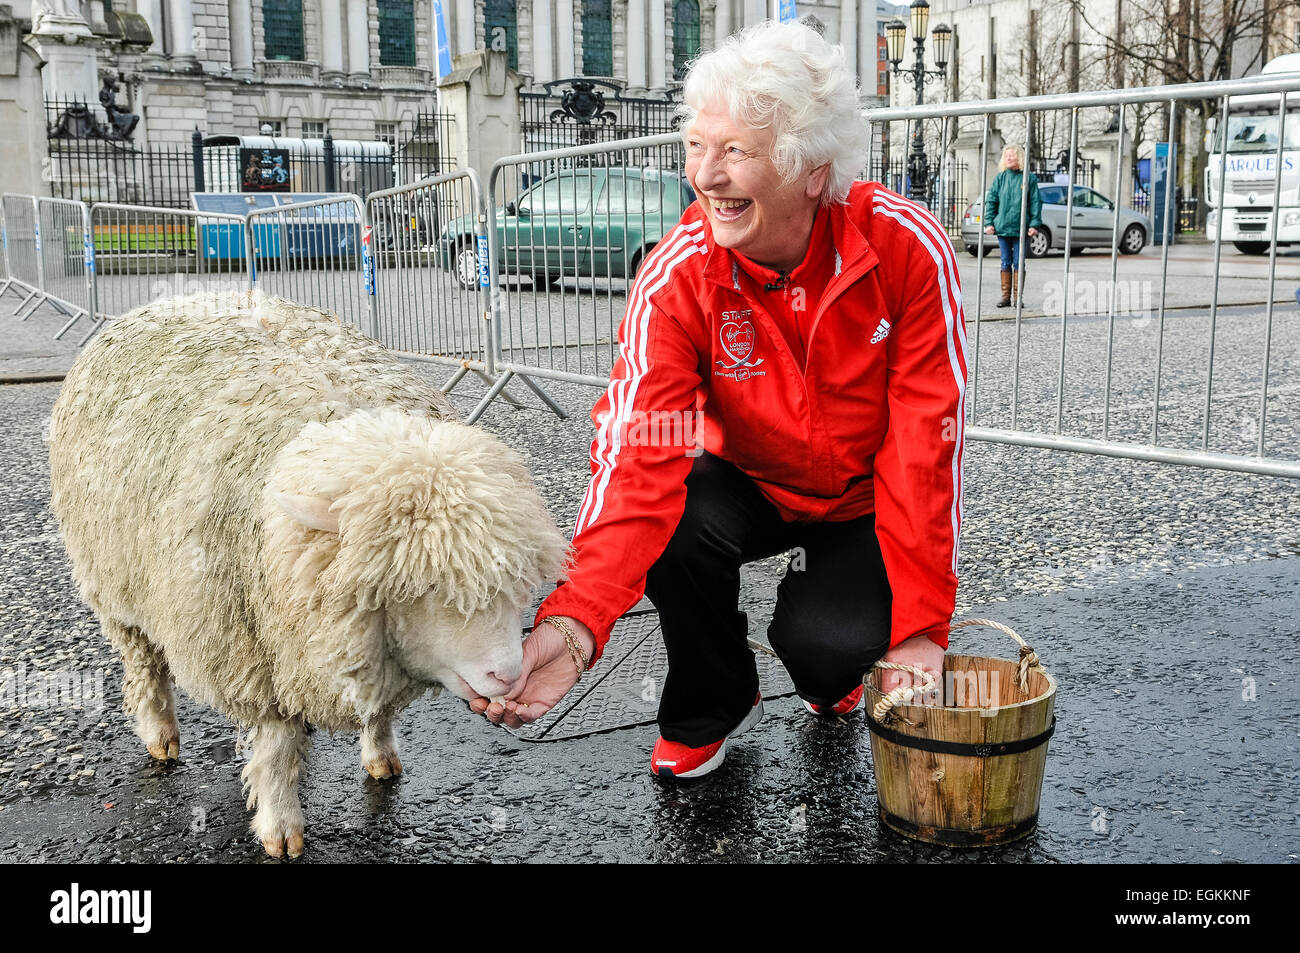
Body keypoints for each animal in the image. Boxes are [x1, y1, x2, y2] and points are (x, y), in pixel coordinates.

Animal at [47, 291, 568, 857]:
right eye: (423, 586)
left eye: (513, 583)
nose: (509, 675)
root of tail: (174, 296)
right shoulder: (257, 653)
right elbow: (275, 748)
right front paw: (280, 826)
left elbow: (376, 709)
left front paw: (380, 753)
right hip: (114, 583)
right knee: (144, 664)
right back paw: (161, 733)